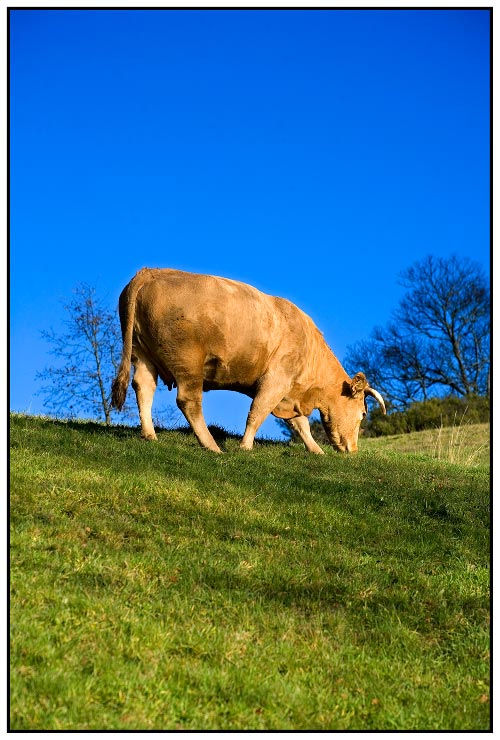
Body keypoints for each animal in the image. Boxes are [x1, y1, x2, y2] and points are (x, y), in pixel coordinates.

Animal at [111, 268, 386, 454]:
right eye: (363, 413)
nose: (353, 450)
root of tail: (149, 272)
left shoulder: (288, 392)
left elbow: (300, 425)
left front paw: (316, 450)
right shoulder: (276, 380)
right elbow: (258, 412)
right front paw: (245, 446)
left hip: (143, 355)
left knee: (143, 387)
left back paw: (150, 435)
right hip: (188, 362)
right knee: (188, 401)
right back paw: (212, 446)